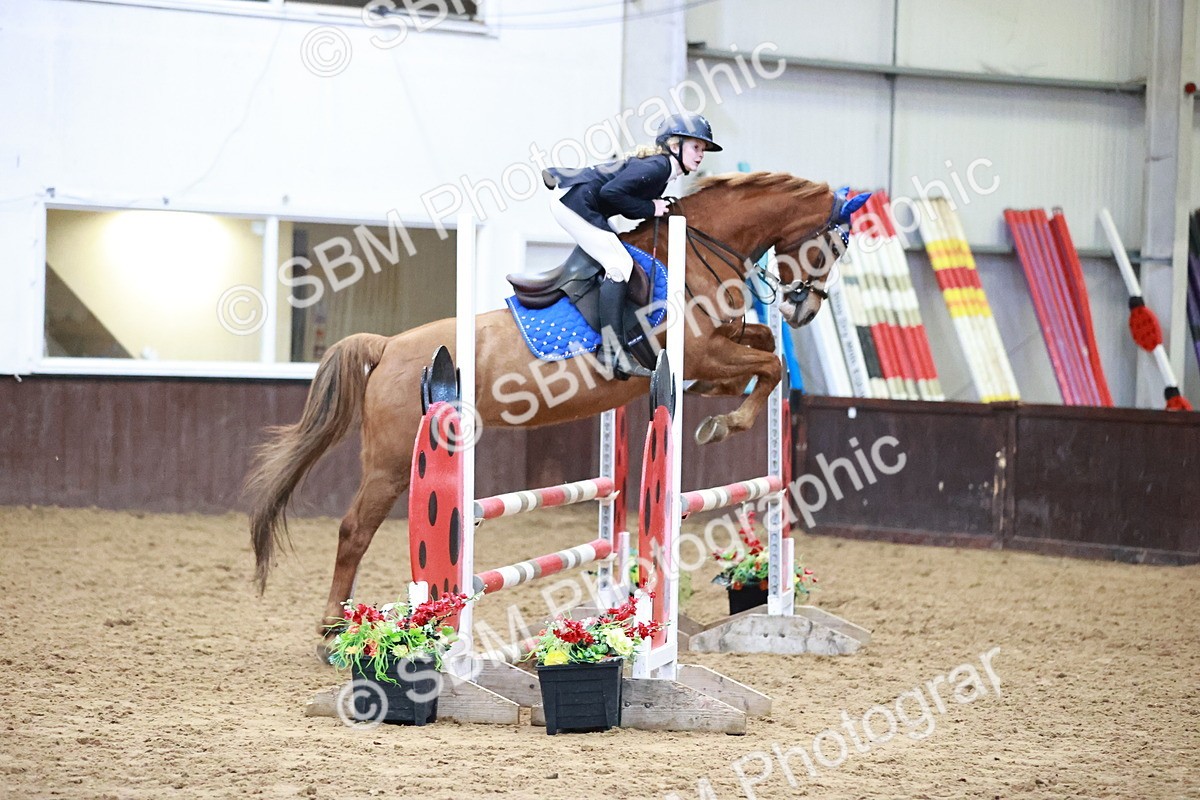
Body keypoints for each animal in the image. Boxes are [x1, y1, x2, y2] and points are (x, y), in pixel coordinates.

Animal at [246, 171, 850, 637]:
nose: (803, 312)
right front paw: (726, 425)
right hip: (393, 461)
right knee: (354, 531)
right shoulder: (702, 352)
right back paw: (332, 628)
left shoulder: (709, 358)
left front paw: (724, 413)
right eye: (832, 247)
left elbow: (764, 353)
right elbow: (769, 367)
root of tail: (389, 345)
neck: (695, 255)